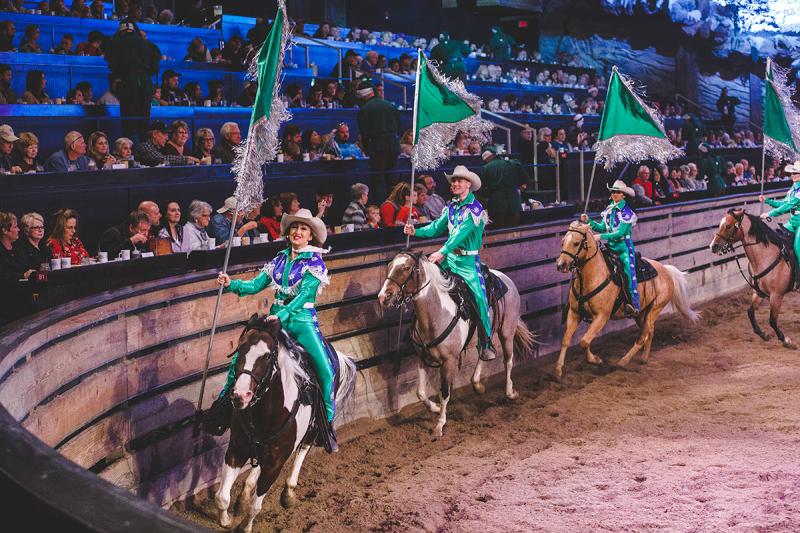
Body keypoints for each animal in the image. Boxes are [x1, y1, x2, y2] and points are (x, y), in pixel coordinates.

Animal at [217, 314, 358, 528]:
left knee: (302, 451)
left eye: (267, 356)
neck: (266, 413)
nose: (241, 395)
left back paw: (289, 493)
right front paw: (226, 519)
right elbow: (222, 497)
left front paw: (245, 527)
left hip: (313, 431)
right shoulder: (236, 449)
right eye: (240, 349)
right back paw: (245, 493)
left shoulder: (276, 463)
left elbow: (255, 506)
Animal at [376, 249, 536, 436]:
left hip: (507, 331)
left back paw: (510, 392)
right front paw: (435, 408)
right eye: (389, 266)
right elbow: (420, 392)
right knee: (485, 350)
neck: (436, 314)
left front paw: (439, 425)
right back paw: (477, 384)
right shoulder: (422, 357)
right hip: (486, 333)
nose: (383, 297)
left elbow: (445, 391)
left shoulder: (449, 361)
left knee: (508, 361)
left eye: (406, 268)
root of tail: (505, 278)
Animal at [556, 220, 700, 378]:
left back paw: (622, 362)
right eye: (563, 242)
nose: (561, 265)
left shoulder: (601, 316)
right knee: (649, 332)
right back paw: (643, 358)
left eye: (576, 243)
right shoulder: (574, 313)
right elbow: (566, 340)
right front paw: (558, 370)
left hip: (655, 309)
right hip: (641, 313)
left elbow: (584, 341)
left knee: (642, 337)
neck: (593, 276)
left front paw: (596, 360)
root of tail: (666, 270)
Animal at [708, 206, 796, 348]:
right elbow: (750, 312)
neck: (766, 257)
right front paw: (763, 334)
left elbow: (772, 320)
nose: (713, 246)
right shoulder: (758, 292)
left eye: (728, 226)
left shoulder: (776, 296)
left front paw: (786, 340)